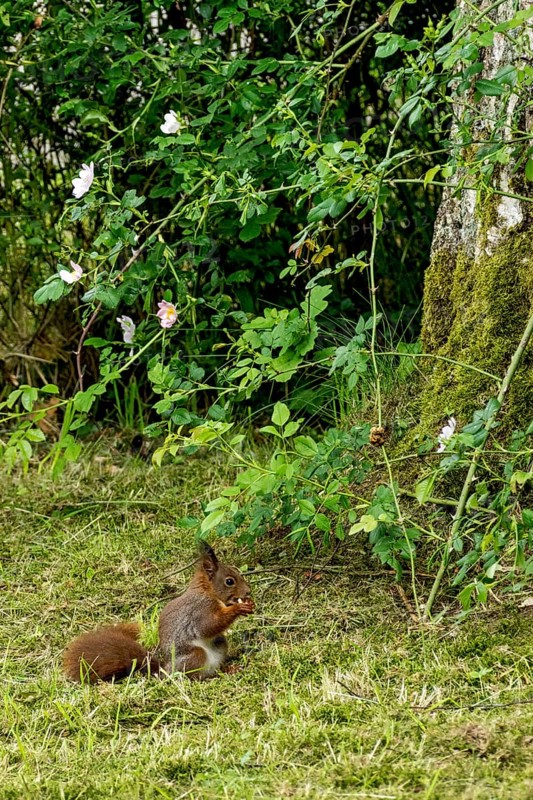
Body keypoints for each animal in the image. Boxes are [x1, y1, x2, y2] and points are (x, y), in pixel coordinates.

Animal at [63, 543, 254, 683]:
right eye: (229, 581)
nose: (248, 591)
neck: (207, 591)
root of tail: (164, 671)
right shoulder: (200, 609)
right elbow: (208, 626)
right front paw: (238, 608)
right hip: (194, 656)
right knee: (192, 676)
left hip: (220, 644)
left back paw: (228, 669)